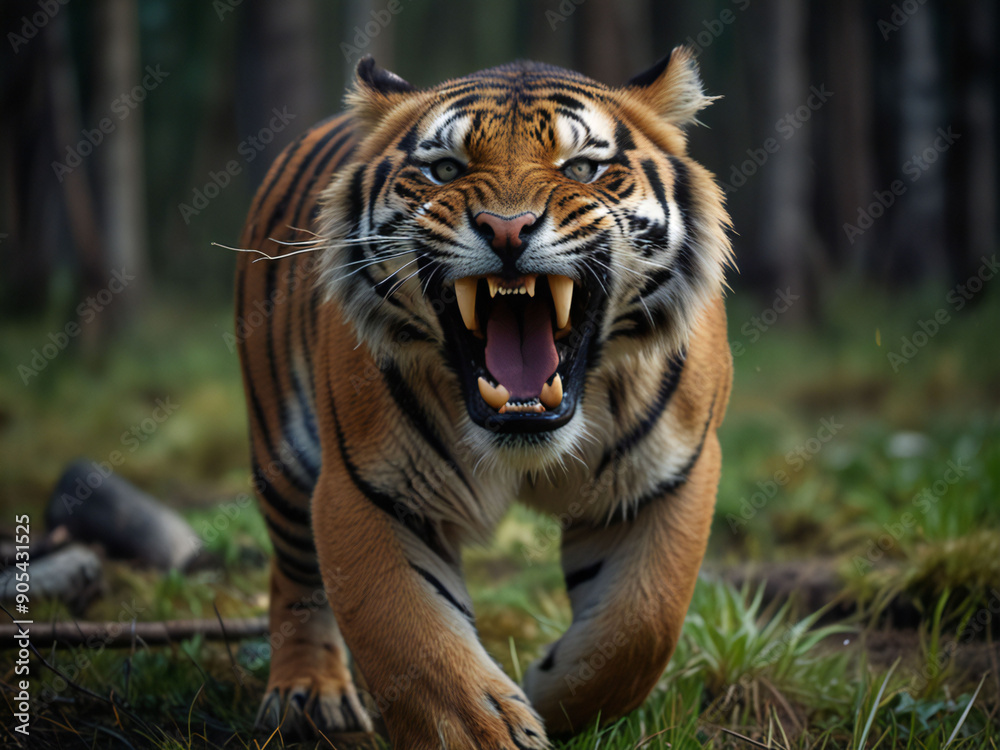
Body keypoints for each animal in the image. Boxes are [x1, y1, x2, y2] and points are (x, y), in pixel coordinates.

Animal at [234, 47, 732, 748]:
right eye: (446, 169)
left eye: (582, 168)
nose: (507, 230)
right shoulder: (370, 490)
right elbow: (415, 643)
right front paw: (487, 729)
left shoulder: (668, 477)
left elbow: (640, 625)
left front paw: (552, 693)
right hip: (281, 453)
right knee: (294, 573)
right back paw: (308, 695)